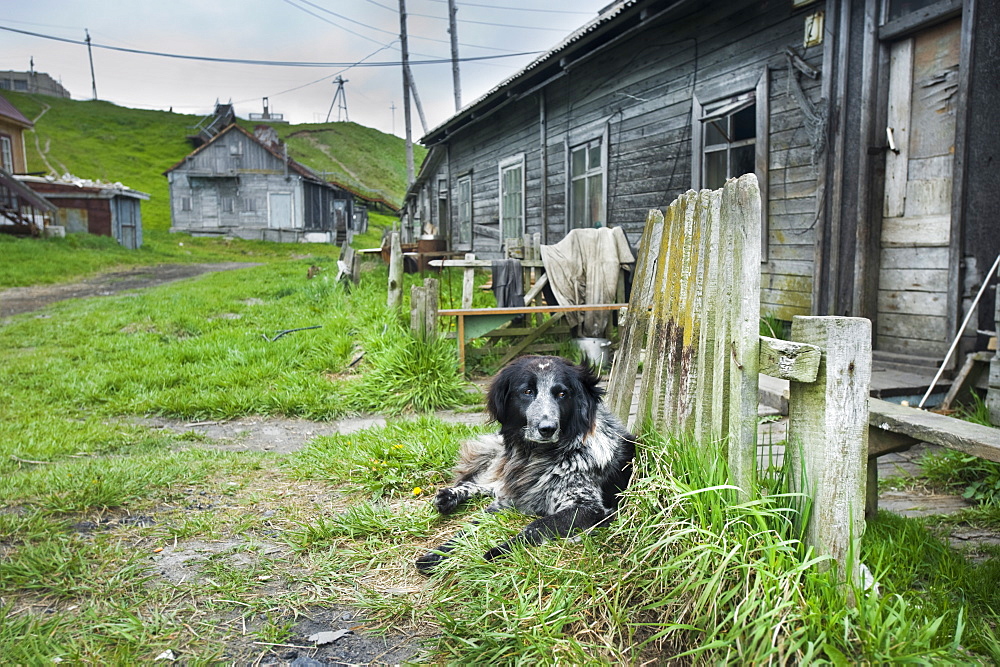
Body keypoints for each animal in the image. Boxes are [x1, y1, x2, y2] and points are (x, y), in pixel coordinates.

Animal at [416, 354, 636, 576]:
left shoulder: (589, 508)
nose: (547, 428)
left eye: (562, 394)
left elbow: (535, 527)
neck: (537, 456)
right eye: (527, 391)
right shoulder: (506, 501)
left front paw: (496, 552)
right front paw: (437, 554)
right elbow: (467, 528)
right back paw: (449, 497)